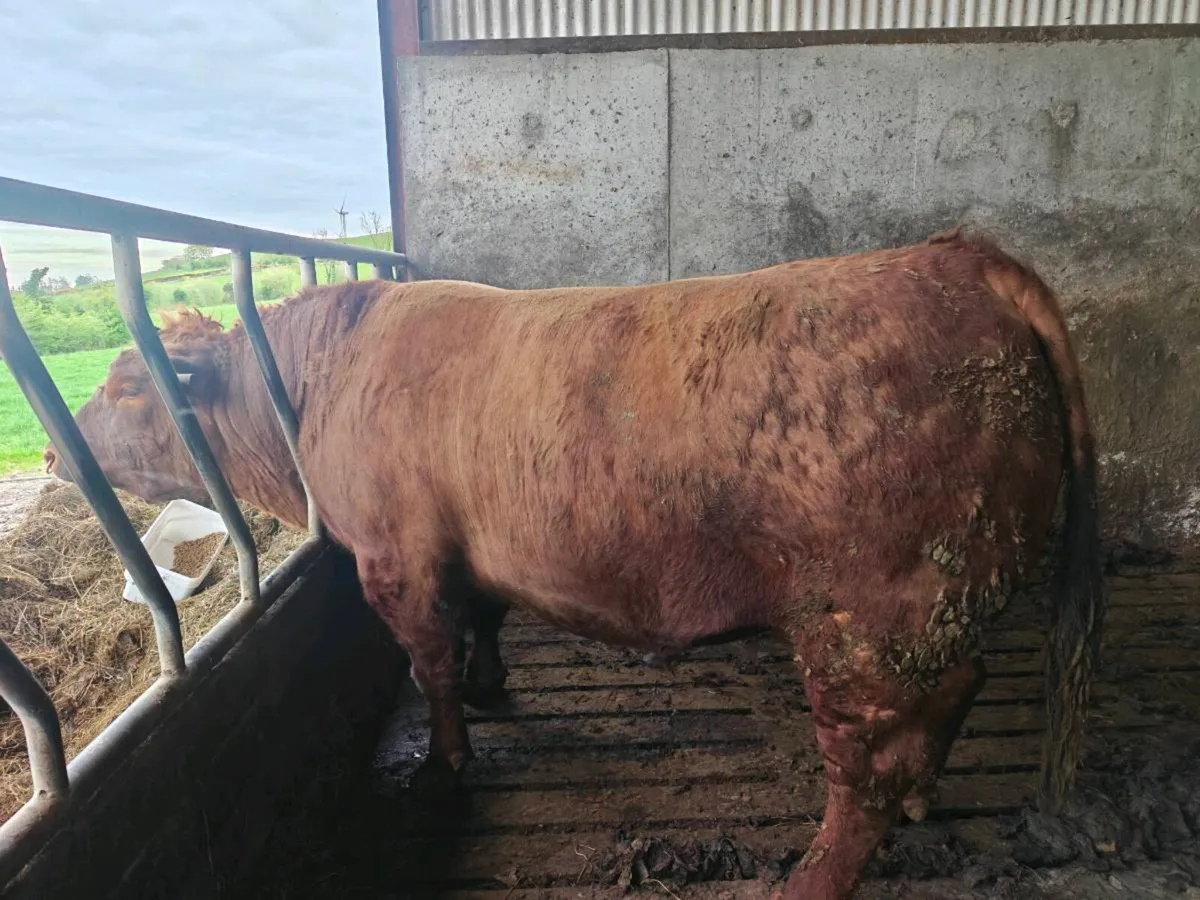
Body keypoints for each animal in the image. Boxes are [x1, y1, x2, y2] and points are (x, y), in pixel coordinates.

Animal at [47, 231, 1102, 900]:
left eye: (130, 385)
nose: (57, 451)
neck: (318, 384)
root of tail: (956, 255)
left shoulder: (396, 560)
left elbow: (428, 665)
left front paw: (447, 763)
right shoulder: (467, 555)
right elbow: (481, 625)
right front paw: (490, 687)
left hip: (863, 623)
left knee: (865, 769)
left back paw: (812, 876)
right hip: (929, 615)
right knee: (955, 690)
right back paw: (925, 795)